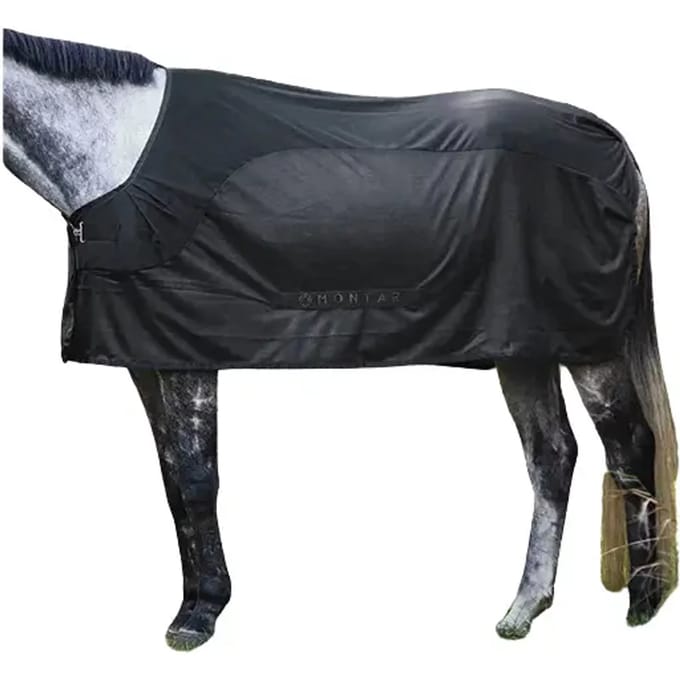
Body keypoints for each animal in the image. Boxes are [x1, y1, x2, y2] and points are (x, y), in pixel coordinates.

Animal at [2, 28, 676, 651]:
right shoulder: (146, 355)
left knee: (630, 446)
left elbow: (197, 480)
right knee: (552, 456)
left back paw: (643, 602)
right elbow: (172, 484)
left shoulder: (188, 355)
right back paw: (525, 608)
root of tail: (614, 144)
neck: (118, 157)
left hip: (591, 346)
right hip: (525, 347)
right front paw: (196, 602)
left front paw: (200, 615)